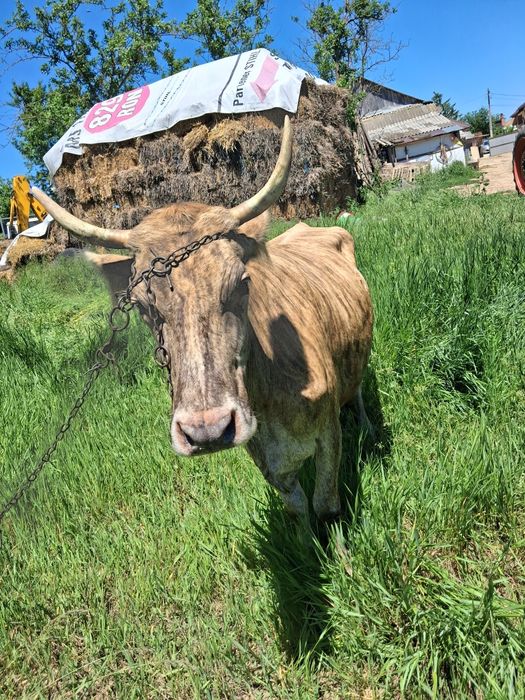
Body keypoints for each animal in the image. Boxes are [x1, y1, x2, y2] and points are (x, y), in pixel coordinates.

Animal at [32, 116, 373, 520]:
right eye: (143, 306)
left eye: (243, 283)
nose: (207, 430)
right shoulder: (265, 456)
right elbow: (298, 510)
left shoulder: (329, 435)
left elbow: (325, 507)